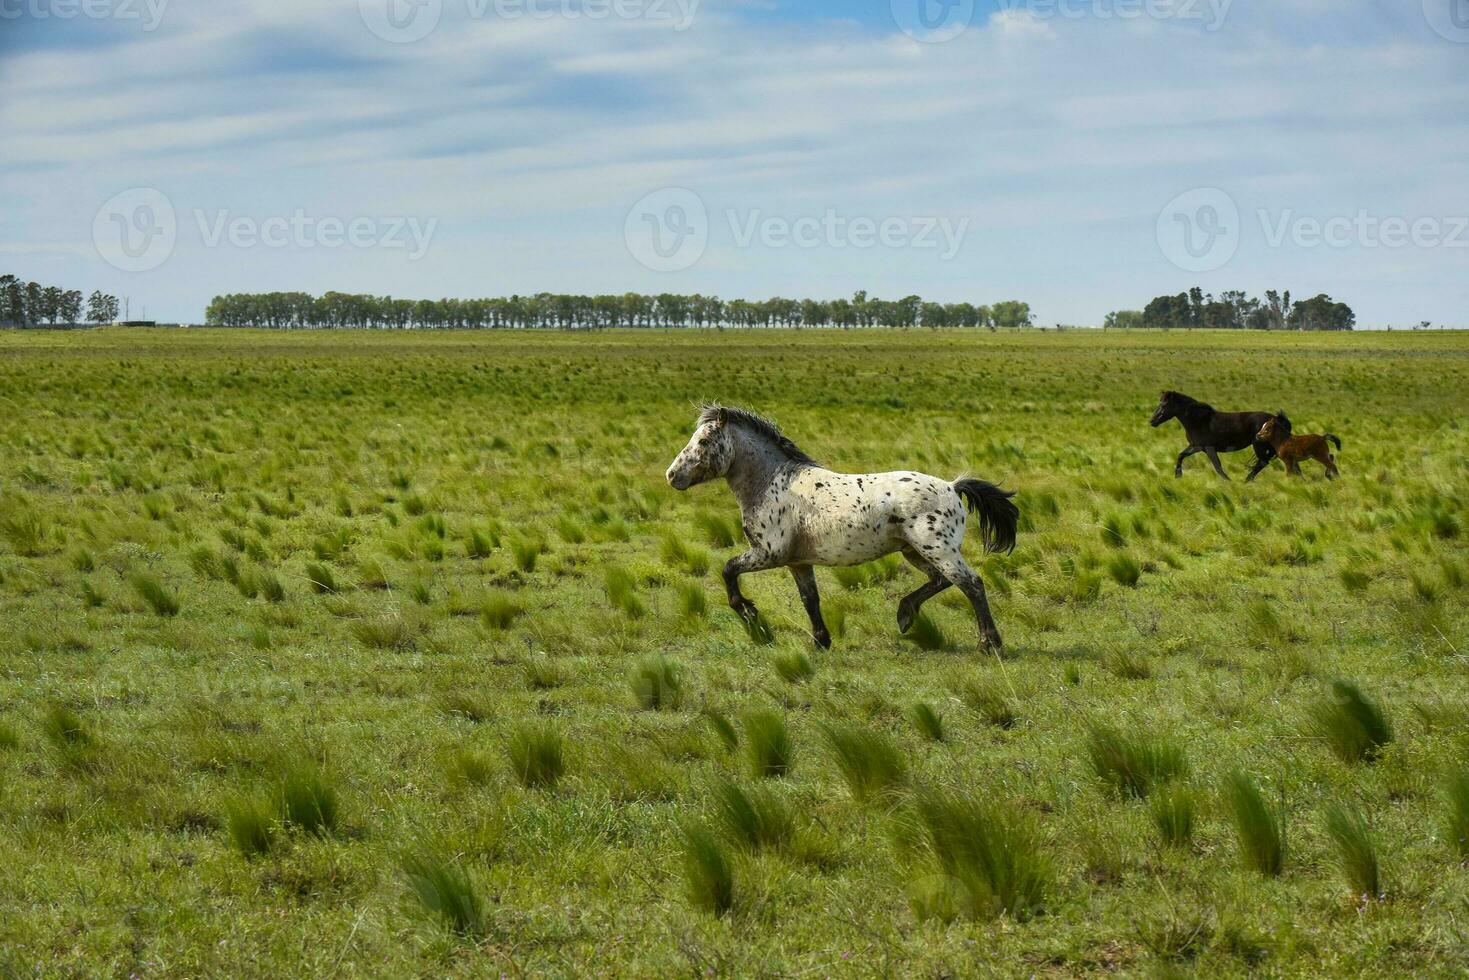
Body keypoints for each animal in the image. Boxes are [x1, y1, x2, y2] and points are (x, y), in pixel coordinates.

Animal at [669, 405, 1022, 652]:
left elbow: (728, 570)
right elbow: (810, 600)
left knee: (971, 584)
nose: (672, 476)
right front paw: (820, 641)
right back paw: (905, 615)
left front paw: (752, 617)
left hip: (938, 549)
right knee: (941, 581)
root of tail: (952, 486)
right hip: (915, 551)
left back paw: (989, 644)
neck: (772, 483)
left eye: (704, 440)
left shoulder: (768, 554)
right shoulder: (798, 563)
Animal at [1151, 393, 1280, 481]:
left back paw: (1247, 480)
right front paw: (1178, 476)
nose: (1152, 421)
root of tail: (1276, 419)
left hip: (1259, 446)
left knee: (1262, 462)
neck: (1199, 420)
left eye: (1164, 405)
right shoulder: (1197, 446)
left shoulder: (1209, 448)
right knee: (1263, 463)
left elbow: (1218, 467)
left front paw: (1229, 482)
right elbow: (1180, 455)